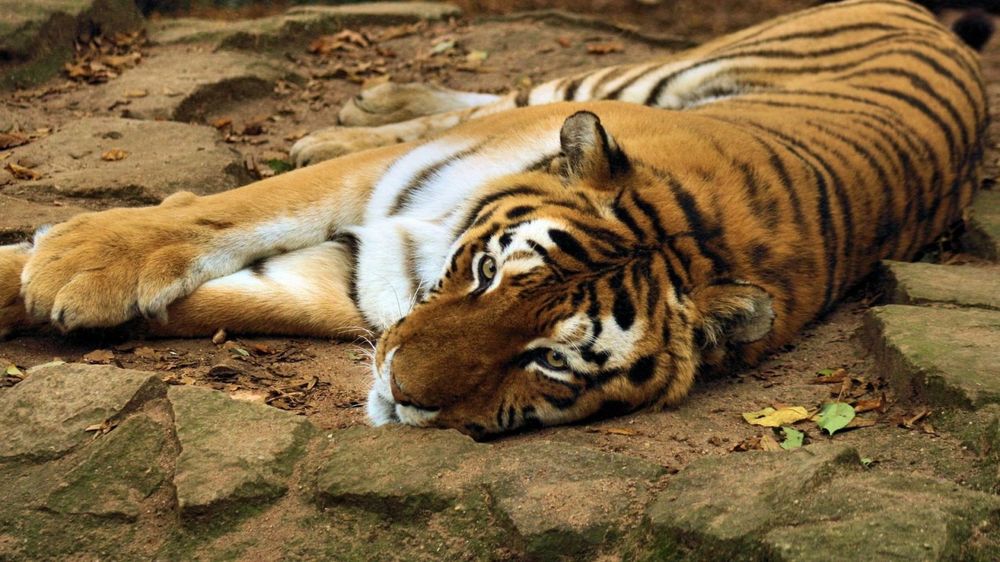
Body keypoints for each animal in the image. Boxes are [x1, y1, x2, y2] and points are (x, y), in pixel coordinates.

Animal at [0, 0, 989, 438]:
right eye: (486, 274)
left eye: (548, 359)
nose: (399, 392)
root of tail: (926, 14)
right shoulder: (382, 196)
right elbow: (234, 210)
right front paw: (80, 257)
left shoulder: (355, 281)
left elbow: (232, 295)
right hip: (611, 79)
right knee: (506, 90)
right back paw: (346, 115)